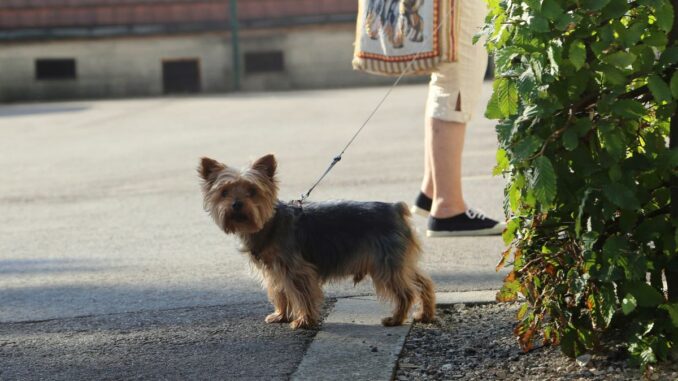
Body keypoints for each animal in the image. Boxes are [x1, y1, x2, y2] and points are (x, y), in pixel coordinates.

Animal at [199, 153, 438, 328]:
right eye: (224, 192)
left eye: (252, 191)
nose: (236, 204)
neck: (269, 224)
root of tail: (395, 208)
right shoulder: (274, 270)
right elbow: (280, 293)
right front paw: (280, 315)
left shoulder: (296, 270)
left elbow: (301, 295)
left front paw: (303, 321)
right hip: (399, 260)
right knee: (422, 282)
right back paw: (425, 314)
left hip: (385, 263)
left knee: (406, 291)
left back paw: (395, 319)